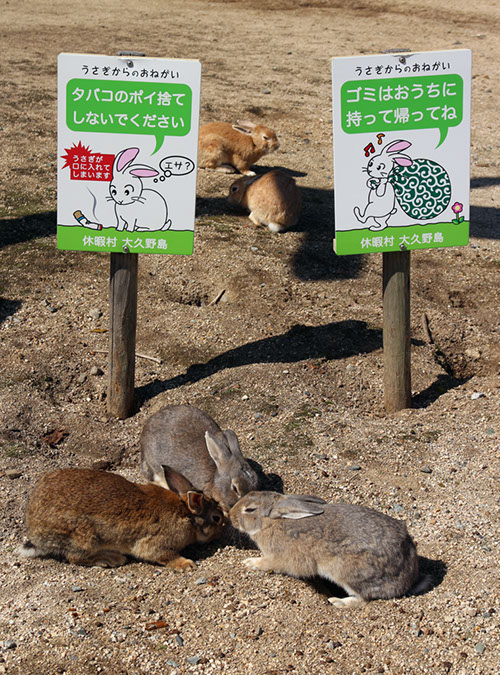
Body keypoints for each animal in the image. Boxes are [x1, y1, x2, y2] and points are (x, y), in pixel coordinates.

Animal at [19, 466, 223, 570]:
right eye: (216, 518)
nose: (222, 529)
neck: (187, 514)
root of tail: (36, 535)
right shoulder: (156, 543)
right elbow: (162, 555)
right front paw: (186, 564)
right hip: (84, 536)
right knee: (75, 557)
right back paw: (112, 559)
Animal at [230, 491, 428, 608]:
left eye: (250, 509)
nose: (231, 516)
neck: (271, 522)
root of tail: (409, 578)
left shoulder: (277, 557)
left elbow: (267, 564)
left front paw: (249, 563)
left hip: (349, 572)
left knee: (363, 599)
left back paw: (337, 601)